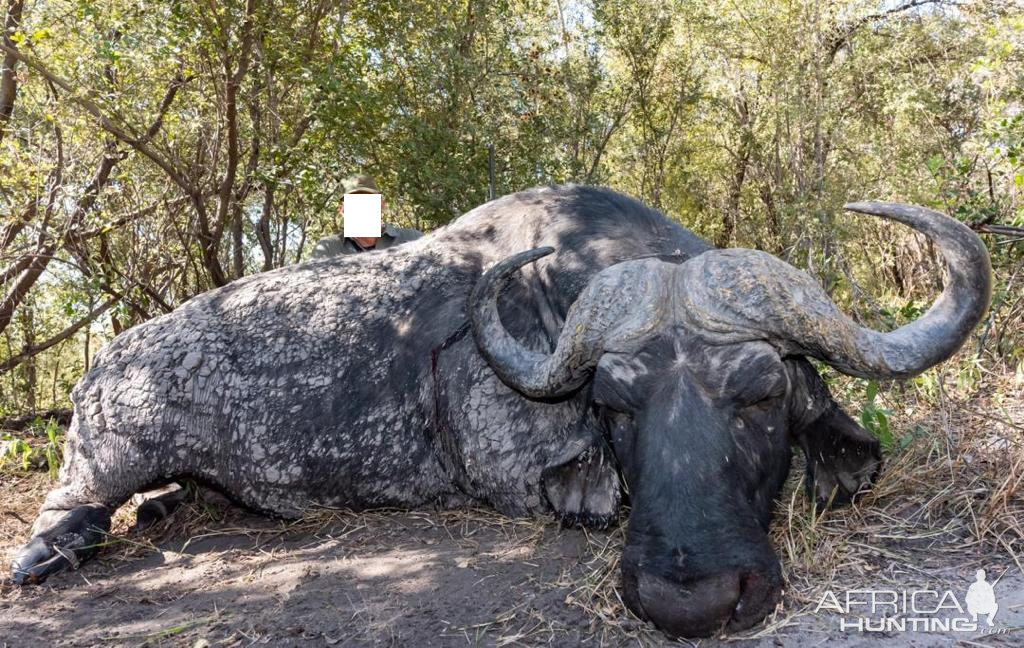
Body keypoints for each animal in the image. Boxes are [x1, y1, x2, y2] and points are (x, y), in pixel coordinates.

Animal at [6, 184, 983, 634]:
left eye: (763, 392)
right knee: (72, 504)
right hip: (105, 455)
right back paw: (50, 552)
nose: (690, 596)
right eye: (613, 405)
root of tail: (106, 364)